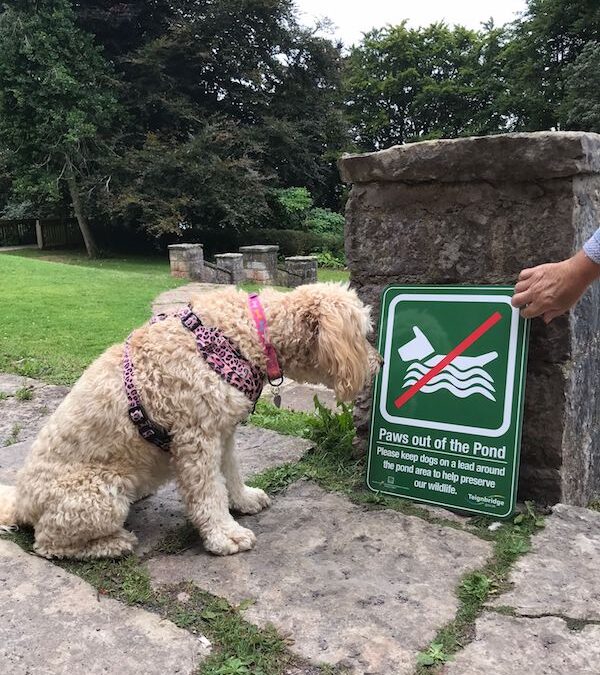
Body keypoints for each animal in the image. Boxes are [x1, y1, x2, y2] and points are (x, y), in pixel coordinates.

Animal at [0, 284, 380, 560]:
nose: (380, 363)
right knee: (48, 544)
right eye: (364, 335)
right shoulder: (196, 438)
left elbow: (231, 474)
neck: (246, 334)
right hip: (100, 492)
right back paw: (113, 543)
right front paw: (224, 535)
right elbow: (208, 492)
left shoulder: (223, 431)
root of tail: (21, 503)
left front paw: (243, 501)